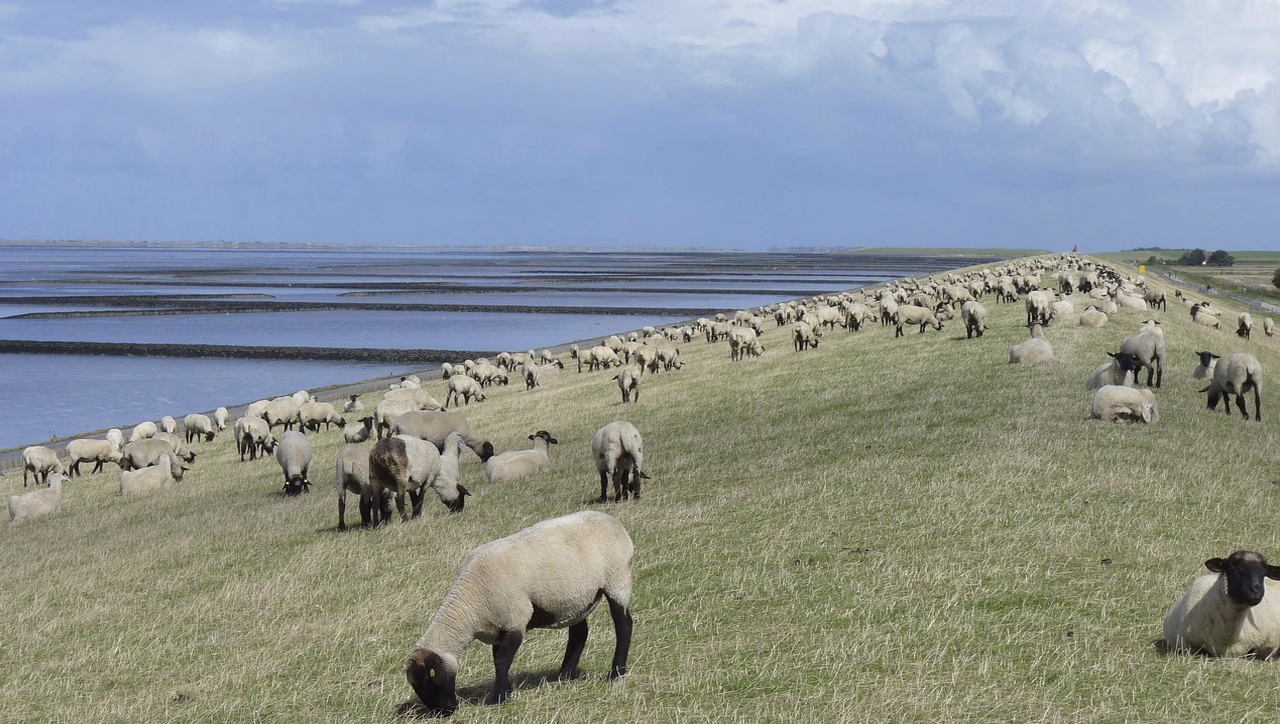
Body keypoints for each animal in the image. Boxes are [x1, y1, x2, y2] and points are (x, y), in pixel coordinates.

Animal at [405, 510, 633, 715]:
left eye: (428, 681)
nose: (444, 712)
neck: (470, 605)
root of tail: (614, 521)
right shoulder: (498, 627)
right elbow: (498, 660)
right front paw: (506, 691)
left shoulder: (515, 619)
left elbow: (501, 661)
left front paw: (497, 699)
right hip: (577, 599)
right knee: (579, 633)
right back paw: (564, 675)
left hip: (617, 580)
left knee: (624, 625)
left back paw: (616, 673)